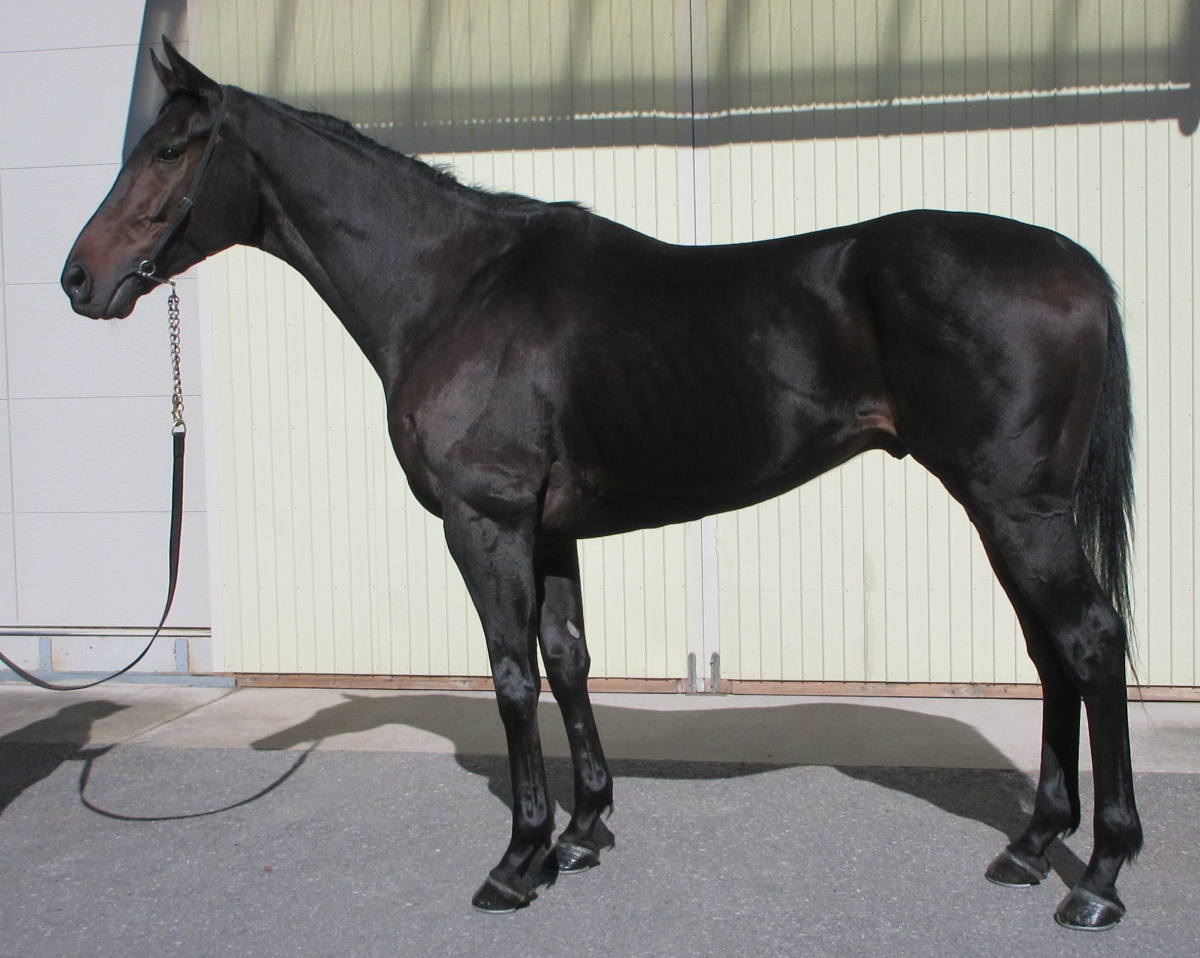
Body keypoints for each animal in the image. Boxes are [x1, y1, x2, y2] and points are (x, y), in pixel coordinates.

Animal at [62, 41, 1141, 930]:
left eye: (170, 150)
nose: (79, 279)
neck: (456, 287)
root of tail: (1077, 265)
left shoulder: (486, 522)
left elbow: (510, 676)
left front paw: (518, 860)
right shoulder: (548, 531)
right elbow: (570, 659)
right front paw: (583, 832)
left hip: (1018, 513)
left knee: (1090, 642)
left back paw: (1099, 878)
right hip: (1007, 514)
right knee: (1053, 655)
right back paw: (1031, 848)